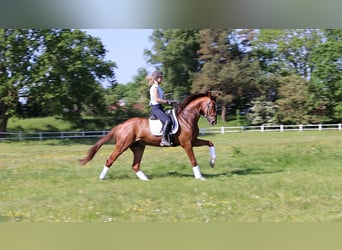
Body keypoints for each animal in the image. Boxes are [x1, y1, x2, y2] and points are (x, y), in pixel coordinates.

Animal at [80, 91, 218, 180]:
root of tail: (122, 125)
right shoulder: (187, 144)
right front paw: (199, 177)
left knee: (135, 165)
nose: (213, 121)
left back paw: (145, 179)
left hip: (138, 147)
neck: (186, 118)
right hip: (122, 145)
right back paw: (101, 177)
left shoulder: (193, 141)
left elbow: (210, 142)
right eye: (211, 106)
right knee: (110, 160)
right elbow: (193, 160)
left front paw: (212, 162)